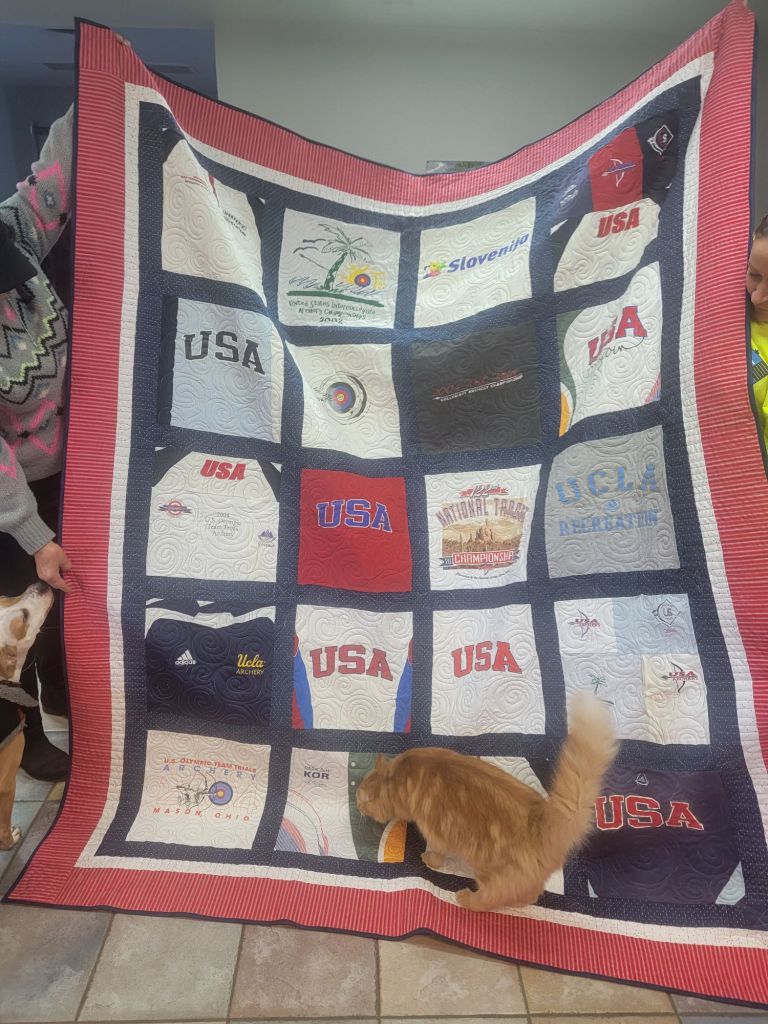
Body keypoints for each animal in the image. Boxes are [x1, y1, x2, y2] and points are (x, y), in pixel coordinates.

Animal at [356, 692, 617, 911]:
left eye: (361, 802)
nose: (357, 807)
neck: (400, 777)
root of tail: (545, 820)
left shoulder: (435, 834)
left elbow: (436, 853)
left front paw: (429, 860)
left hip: (490, 875)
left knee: (490, 900)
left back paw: (466, 899)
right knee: (532, 893)